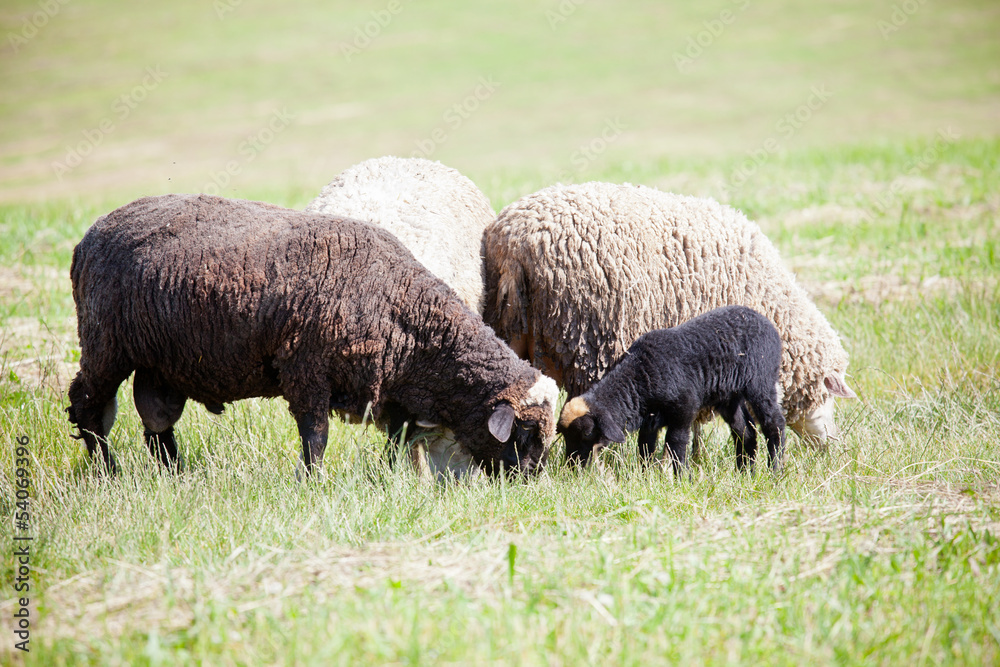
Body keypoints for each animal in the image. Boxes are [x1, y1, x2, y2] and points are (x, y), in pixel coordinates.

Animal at [66, 193, 559, 477]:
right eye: (526, 434)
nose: (527, 483)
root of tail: (91, 234)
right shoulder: (306, 369)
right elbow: (316, 435)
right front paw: (313, 482)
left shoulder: (394, 390)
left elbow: (397, 442)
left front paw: (390, 479)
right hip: (104, 344)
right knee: (89, 408)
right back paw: (108, 472)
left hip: (161, 362)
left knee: (156, 420)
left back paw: (174, 475)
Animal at [558, 306, 786, 474]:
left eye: (588, 433)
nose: (572, 467)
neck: (640, 375)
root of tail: (766, 321)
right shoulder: (649, 420)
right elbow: (645, 447)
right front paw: (646, 477)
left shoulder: (684, 408)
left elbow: (675, 443)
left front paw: (682, 478)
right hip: (729, 397)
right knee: (745, 431)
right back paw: (745, 473)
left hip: (761, 381)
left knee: (774, 423)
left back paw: (775, 471)